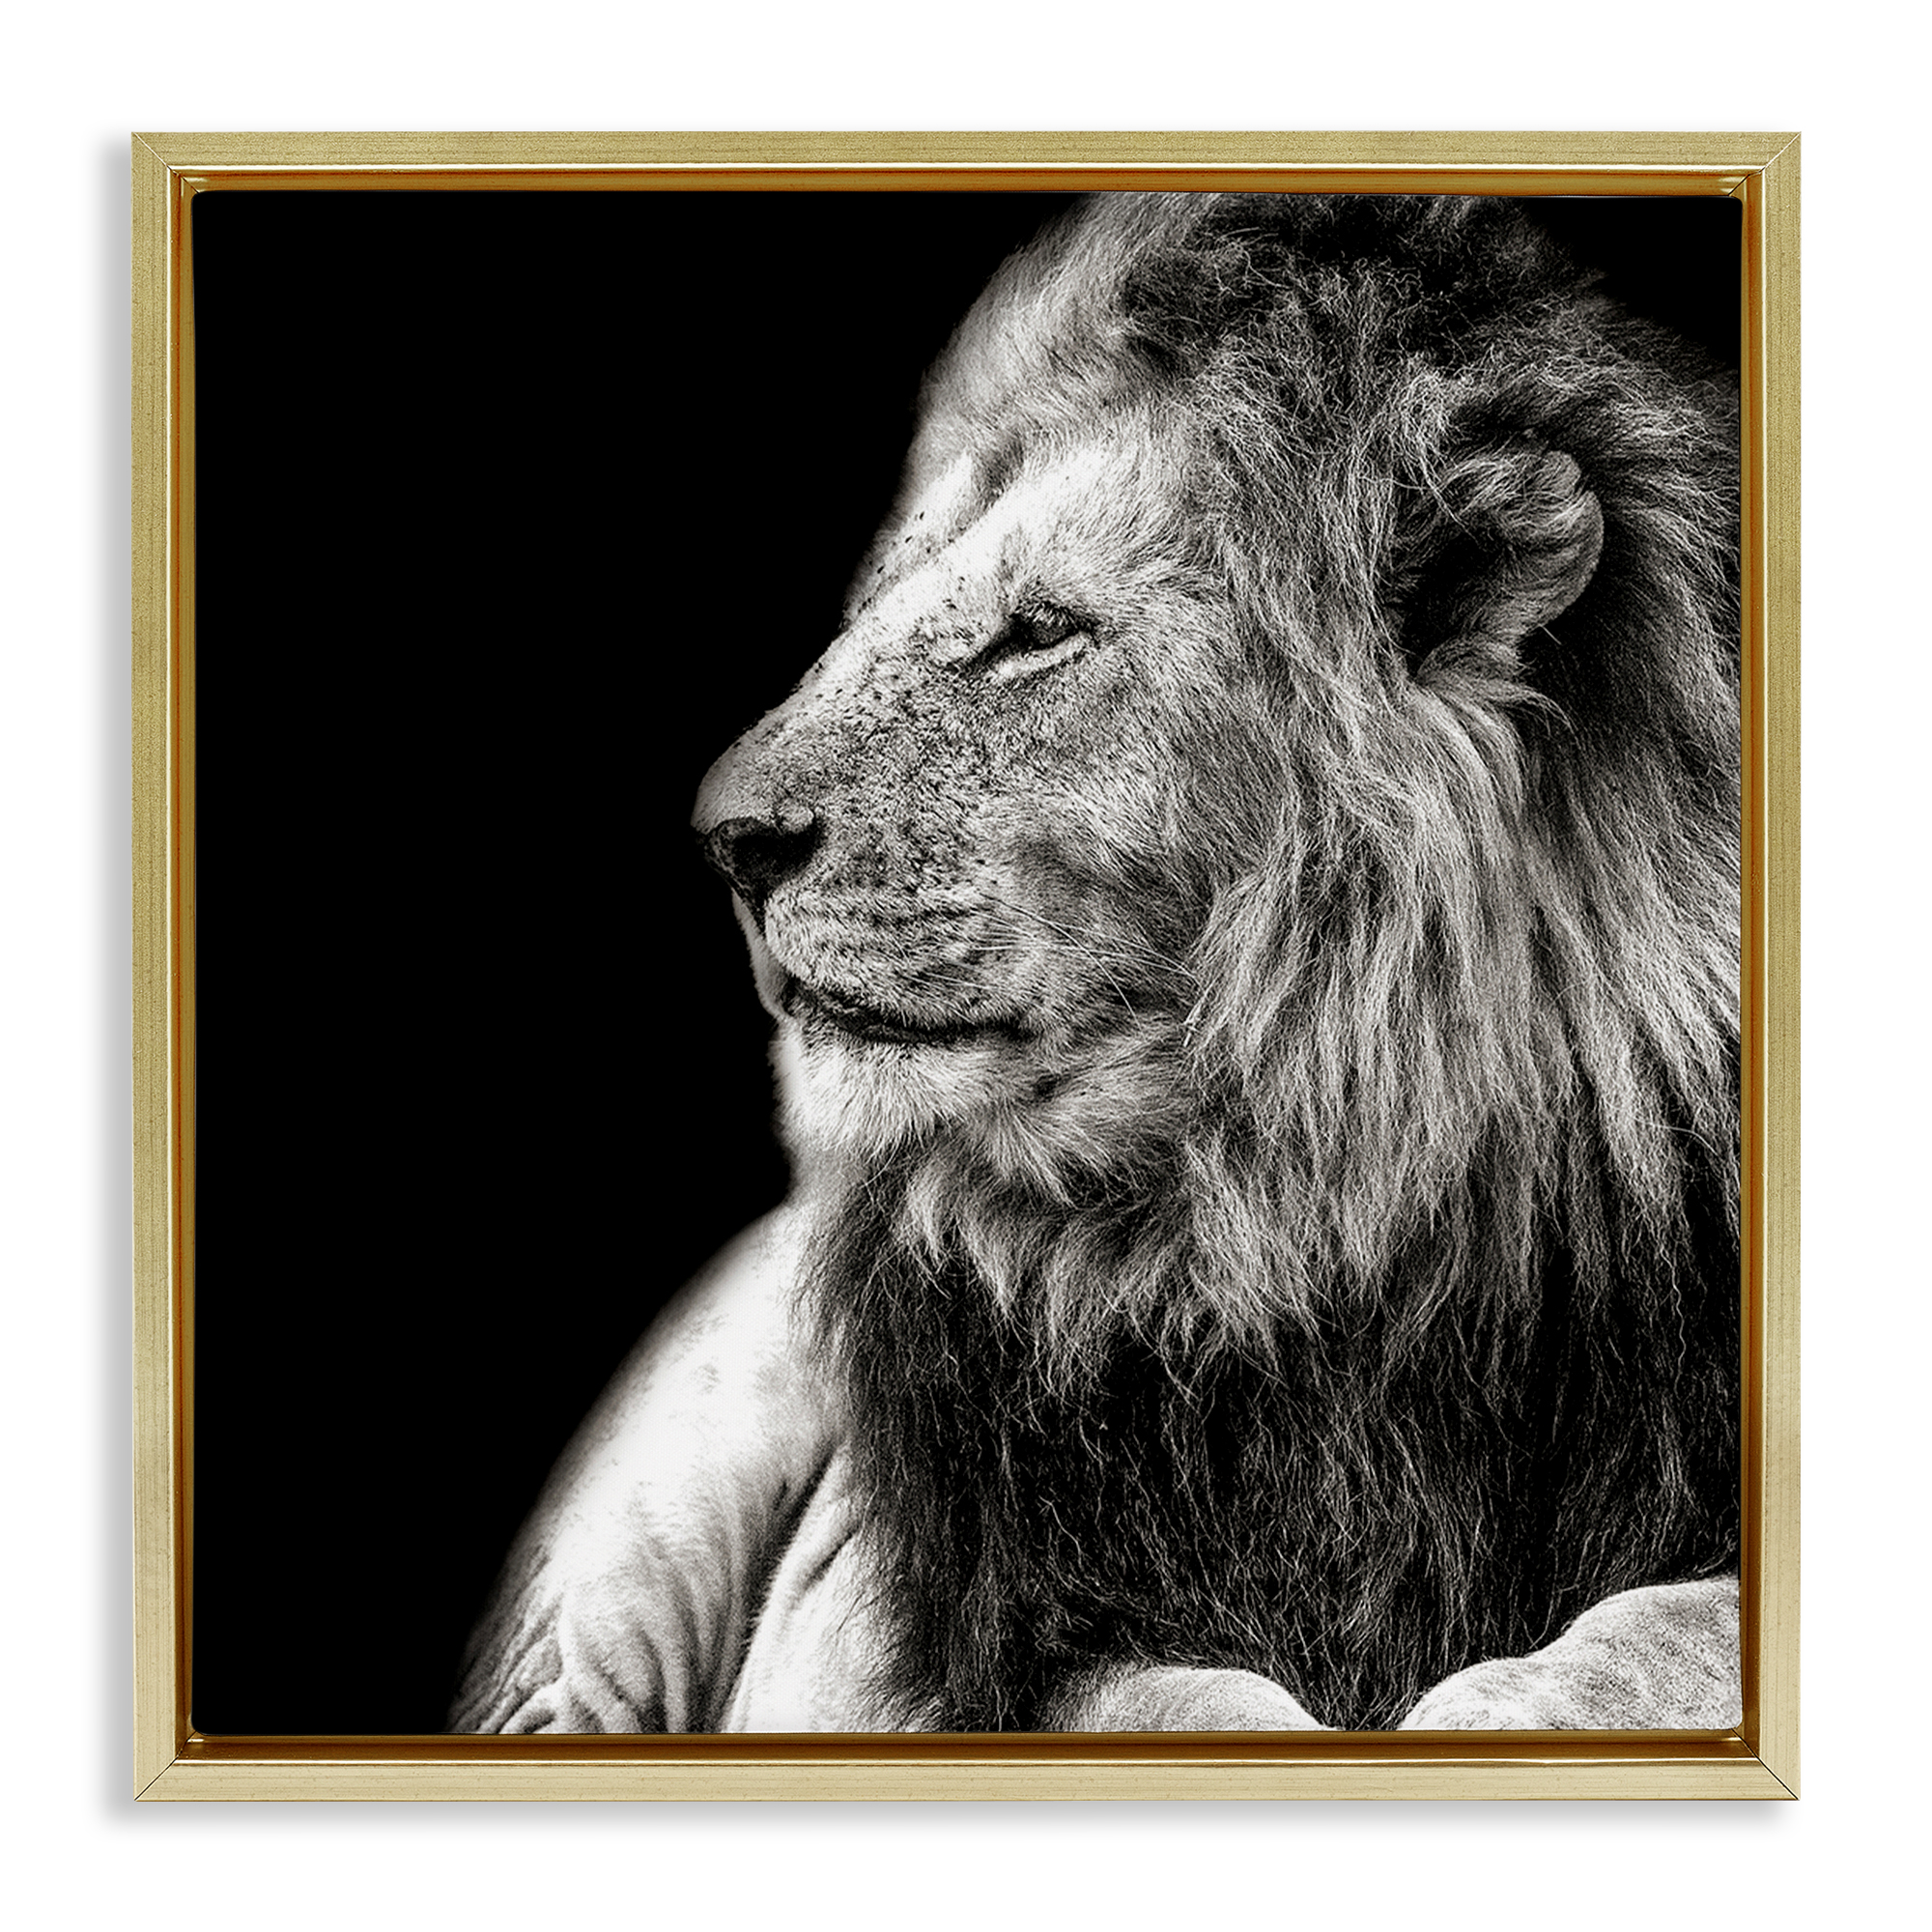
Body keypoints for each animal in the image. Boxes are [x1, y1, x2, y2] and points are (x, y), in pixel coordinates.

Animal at [451, 193, 1742, 1734]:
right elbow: (1183, 1705)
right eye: (875, 609)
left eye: (1038, 633)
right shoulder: (986, 1636)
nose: (726, 841)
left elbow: (1660, 1629)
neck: (1308, 1226)